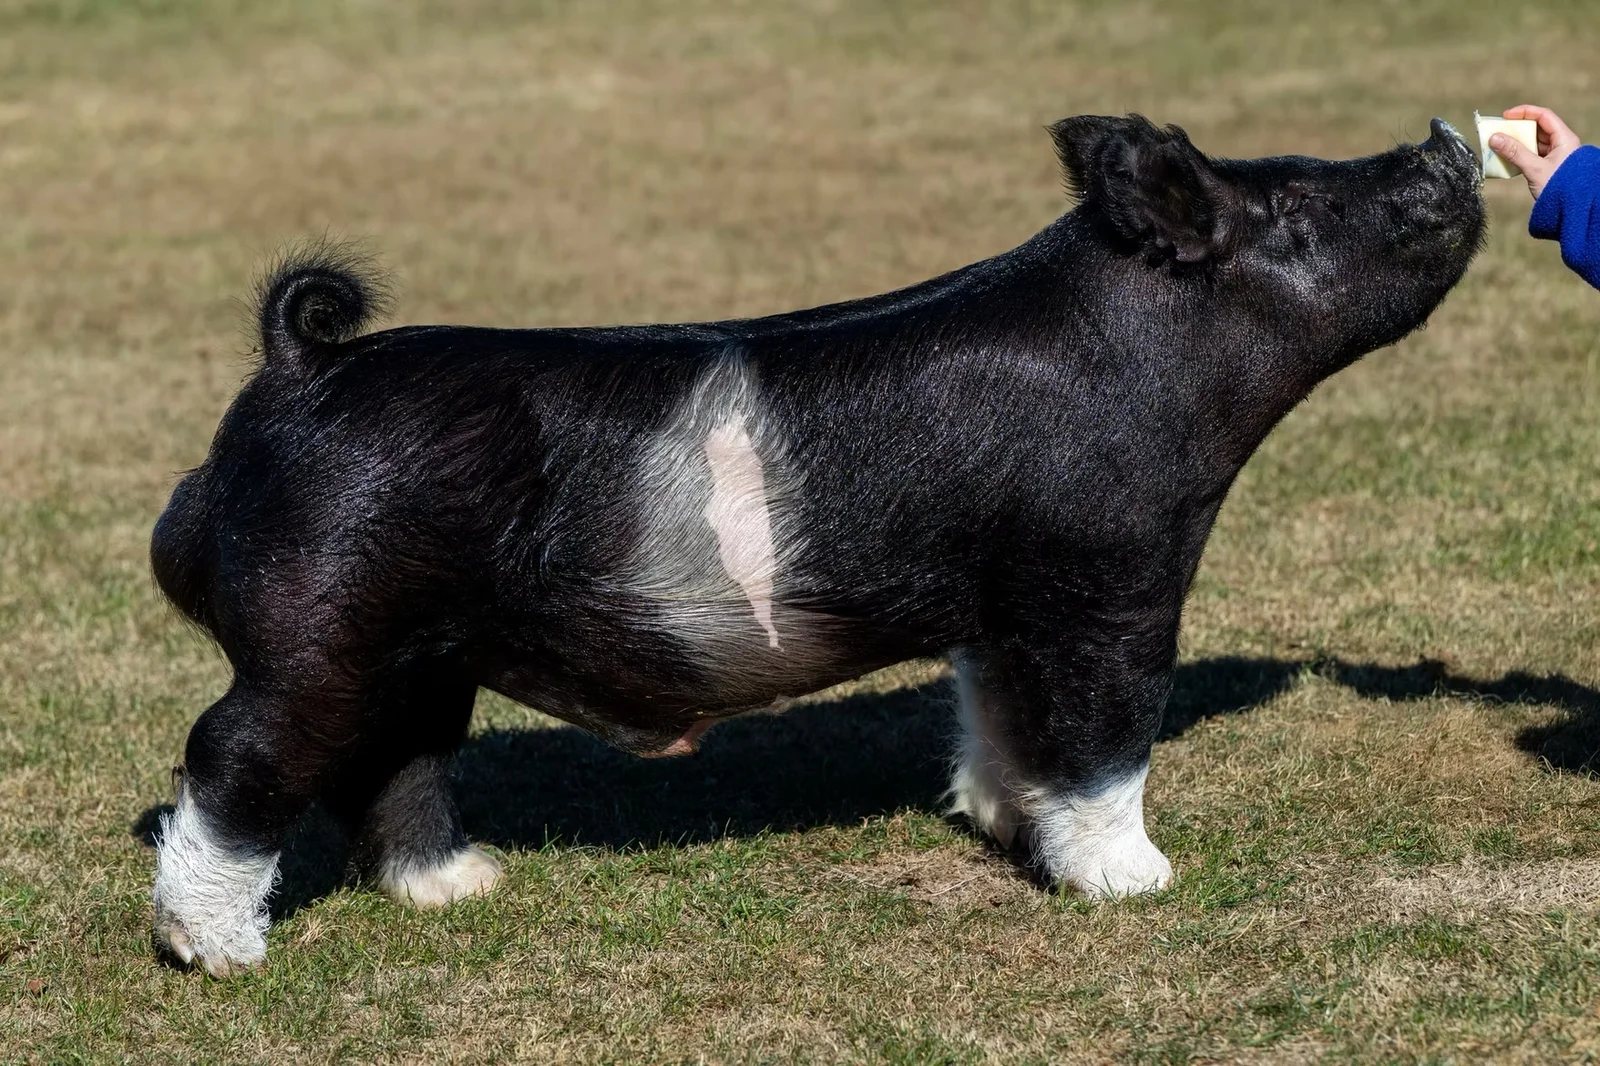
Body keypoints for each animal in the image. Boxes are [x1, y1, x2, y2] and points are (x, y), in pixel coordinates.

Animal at [149, 115, 1485, 975]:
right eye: (1299, 204)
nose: (1439, 134)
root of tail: (298, 365)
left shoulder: (1001, 602)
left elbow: (1003, 718)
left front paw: (1004, 827)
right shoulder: (1110, 569)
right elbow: (1110, 730)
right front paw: (1137, 882)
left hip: (418, 649)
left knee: (394, 759)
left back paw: (464, 886)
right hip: (317, 622)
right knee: (231, 753)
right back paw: (219, 953)